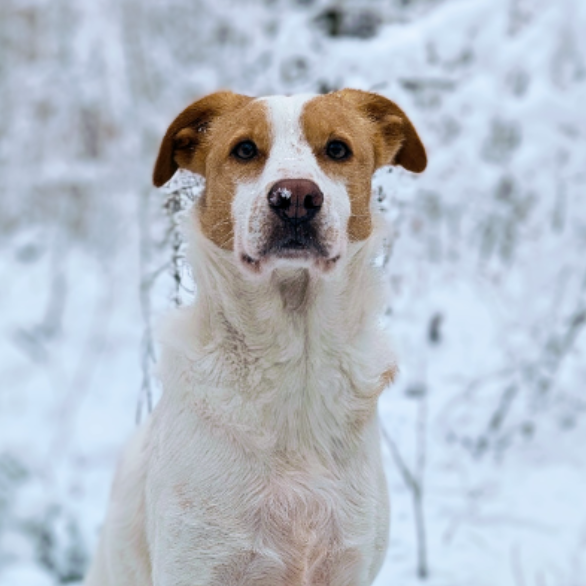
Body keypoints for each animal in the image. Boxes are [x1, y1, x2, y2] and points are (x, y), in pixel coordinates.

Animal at [83, 88, 424, 584]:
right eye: (244, 150)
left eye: (337, 149)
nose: (296, 197)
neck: (295, 364)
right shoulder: (197, 564)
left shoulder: (350, 562)